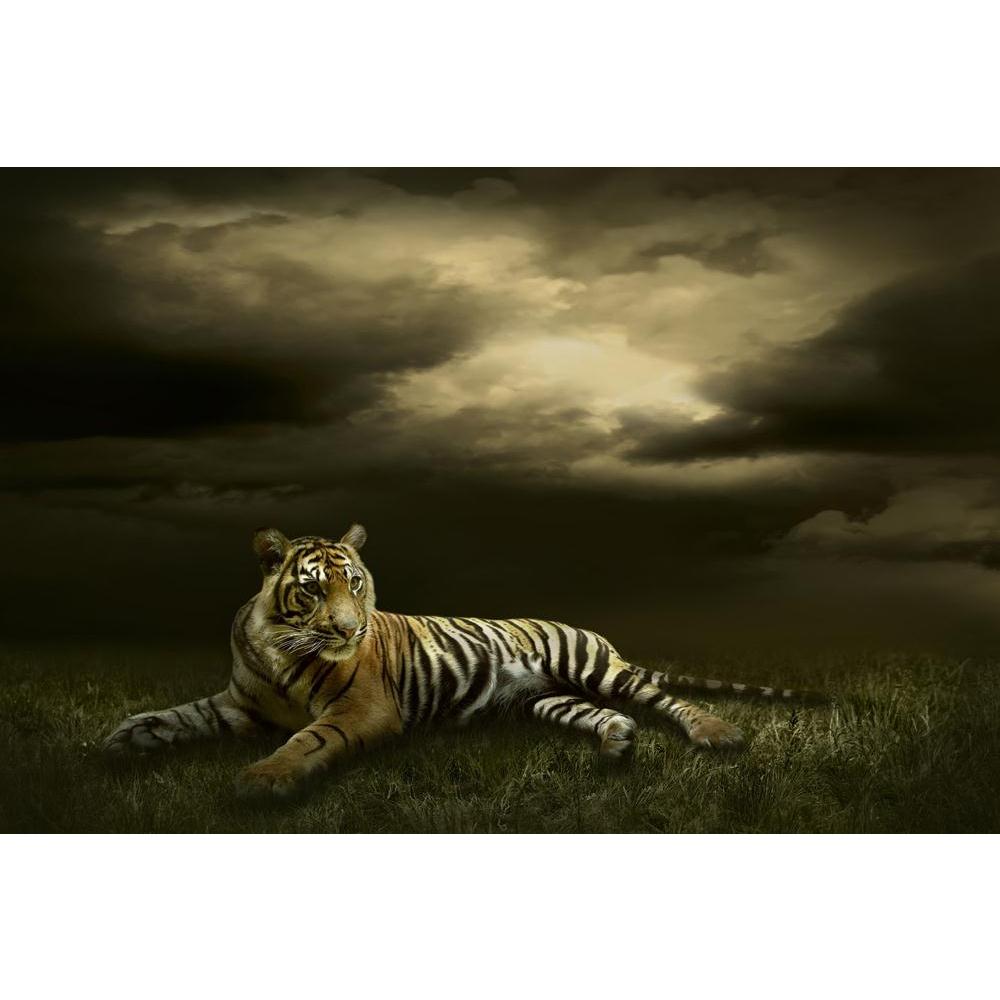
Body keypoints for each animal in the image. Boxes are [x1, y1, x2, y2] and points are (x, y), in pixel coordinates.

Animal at [102, 524, 822, 797]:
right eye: (312, 588)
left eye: (354, 584)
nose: (349, 627)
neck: (281, 647)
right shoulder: (239, 705)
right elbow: (178, 715)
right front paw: (122, 738)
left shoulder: (361, 709)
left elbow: (309, 739)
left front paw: (263, 778)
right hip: (547, 697)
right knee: (602, 714)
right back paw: (616, 740)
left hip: (597, 668)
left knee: (664, 697)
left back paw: (715, 731)